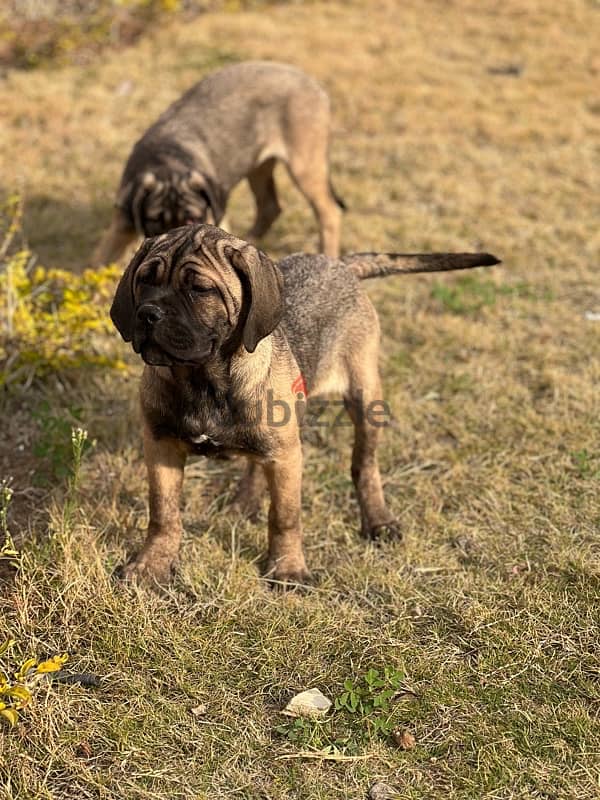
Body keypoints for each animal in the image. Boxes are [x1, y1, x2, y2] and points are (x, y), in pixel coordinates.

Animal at [95, 61, 346, 266]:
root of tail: (315, 86)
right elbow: (99, 262)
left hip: (304, 165)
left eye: (192, 220)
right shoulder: (121, 225)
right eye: (155, 222)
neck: (167, 161)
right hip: (257, 166)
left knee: (329, 212)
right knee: (270, 206)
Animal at [110, 225, 500, 588]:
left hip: (364, 397)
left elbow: (284, 516)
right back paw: (245, 502)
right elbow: (163, 513)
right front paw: (151, 564)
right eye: (144, 280)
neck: (203, 380)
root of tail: (340, 264)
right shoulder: (161, 445)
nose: (148, 314)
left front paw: (288, 568)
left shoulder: (288, 458)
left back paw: (377, 520)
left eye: (200, 289)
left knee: (364, 465)